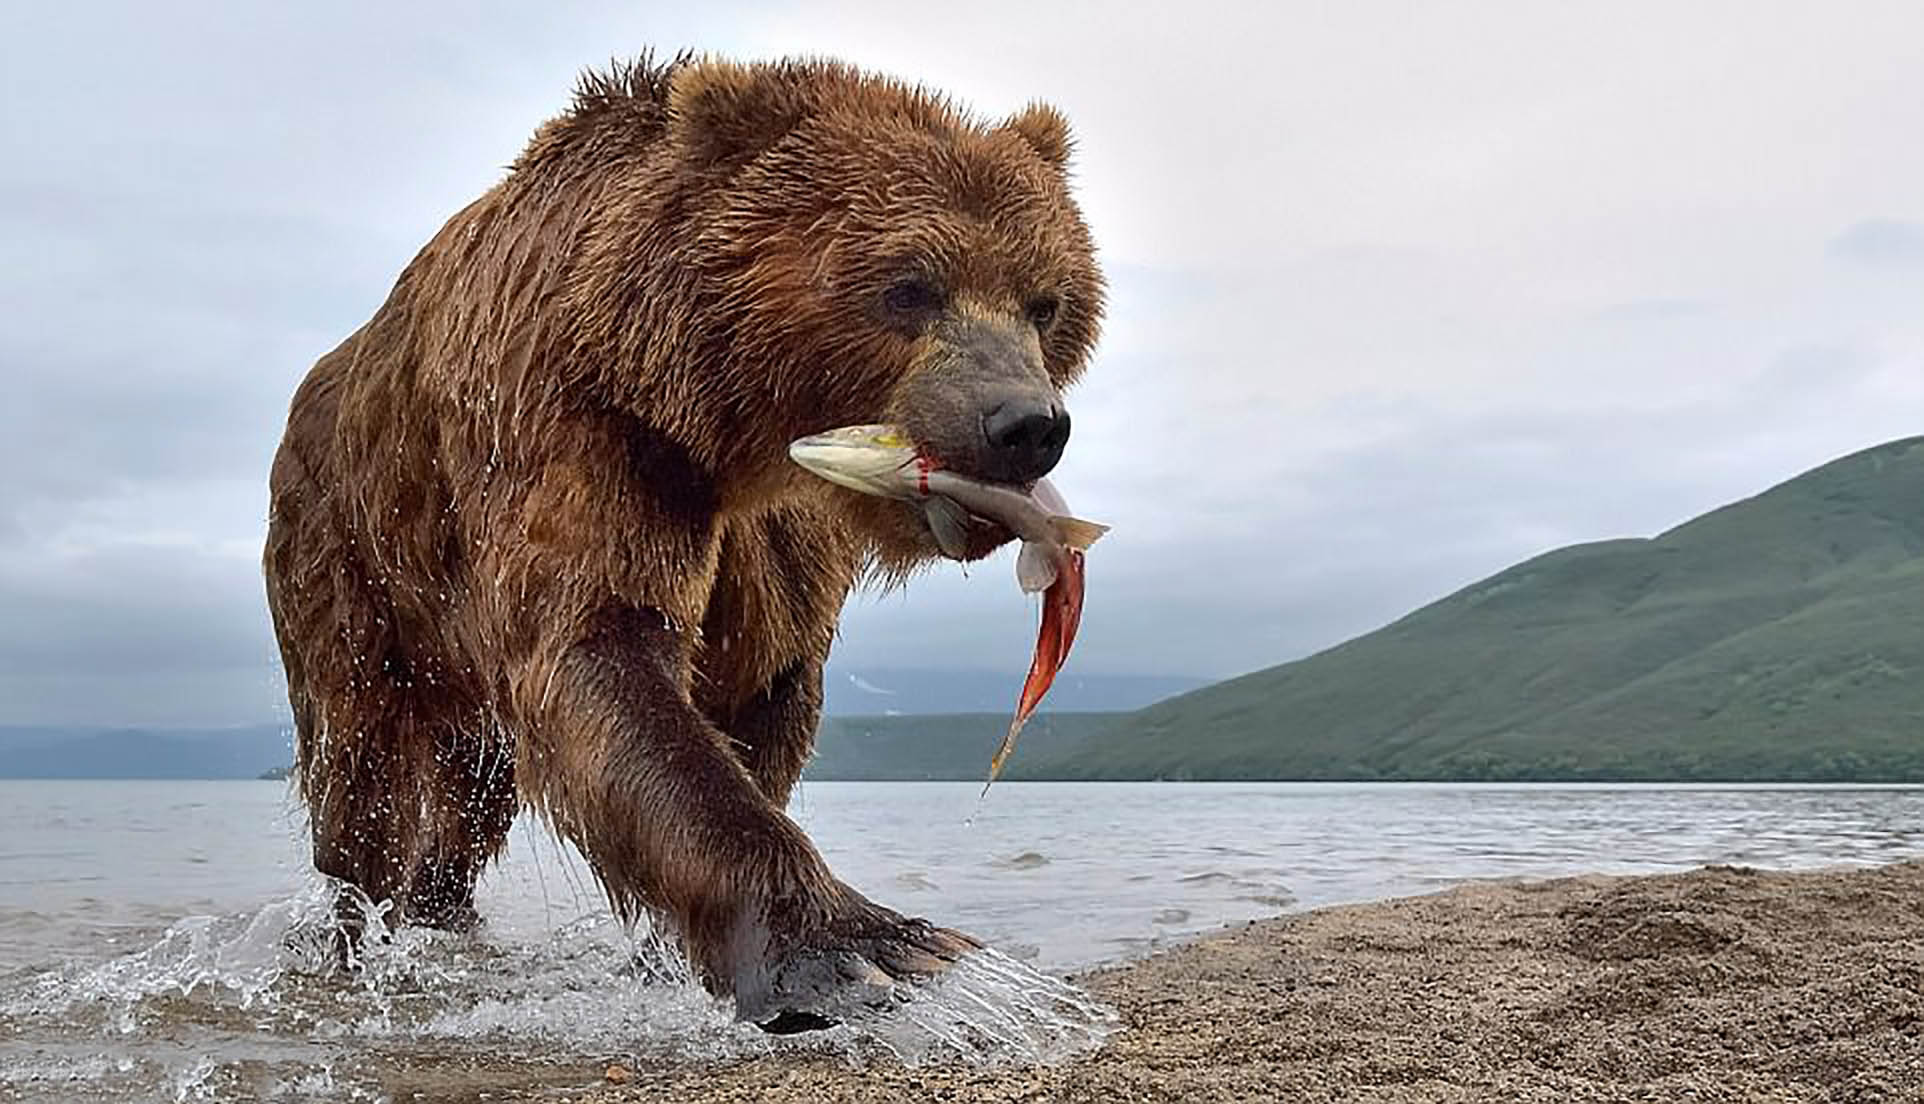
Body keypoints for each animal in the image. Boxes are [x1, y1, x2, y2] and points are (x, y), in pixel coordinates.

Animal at [259, 54, 1100, 1030]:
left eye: (1045, 301)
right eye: (907, 286)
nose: (1025, 425)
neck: (725, 433)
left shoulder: (778, 548)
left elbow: (762, 699)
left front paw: (685, 958)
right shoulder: (570, 428)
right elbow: (600, 650)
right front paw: (874, 949)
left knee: (471, 796)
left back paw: (443, 917)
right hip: (352, 559)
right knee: (361, 775)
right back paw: (352, 938)